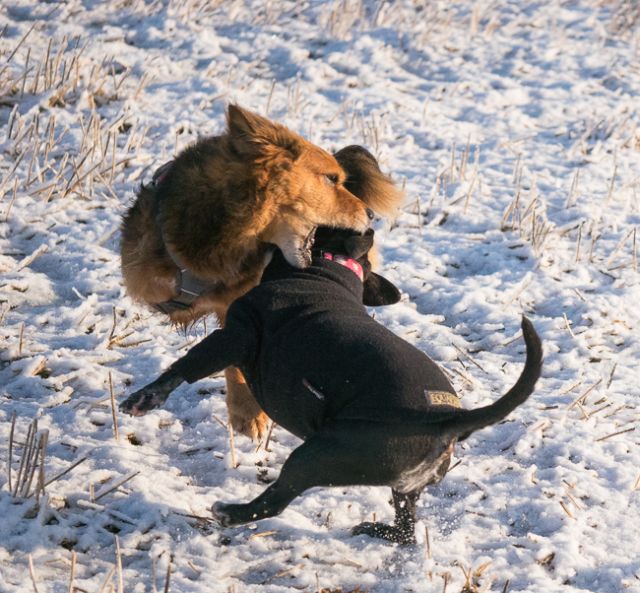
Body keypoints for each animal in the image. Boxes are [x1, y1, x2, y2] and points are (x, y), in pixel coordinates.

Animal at [120, 229, 540, 544]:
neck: (325, 272)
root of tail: (447, 421)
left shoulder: (236, 335)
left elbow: (184, 368)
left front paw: (143, 399)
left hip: (318, 455)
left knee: (276, 500)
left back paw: (229, 512)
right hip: (404, 487)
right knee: (406, 533)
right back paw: (375, 530)